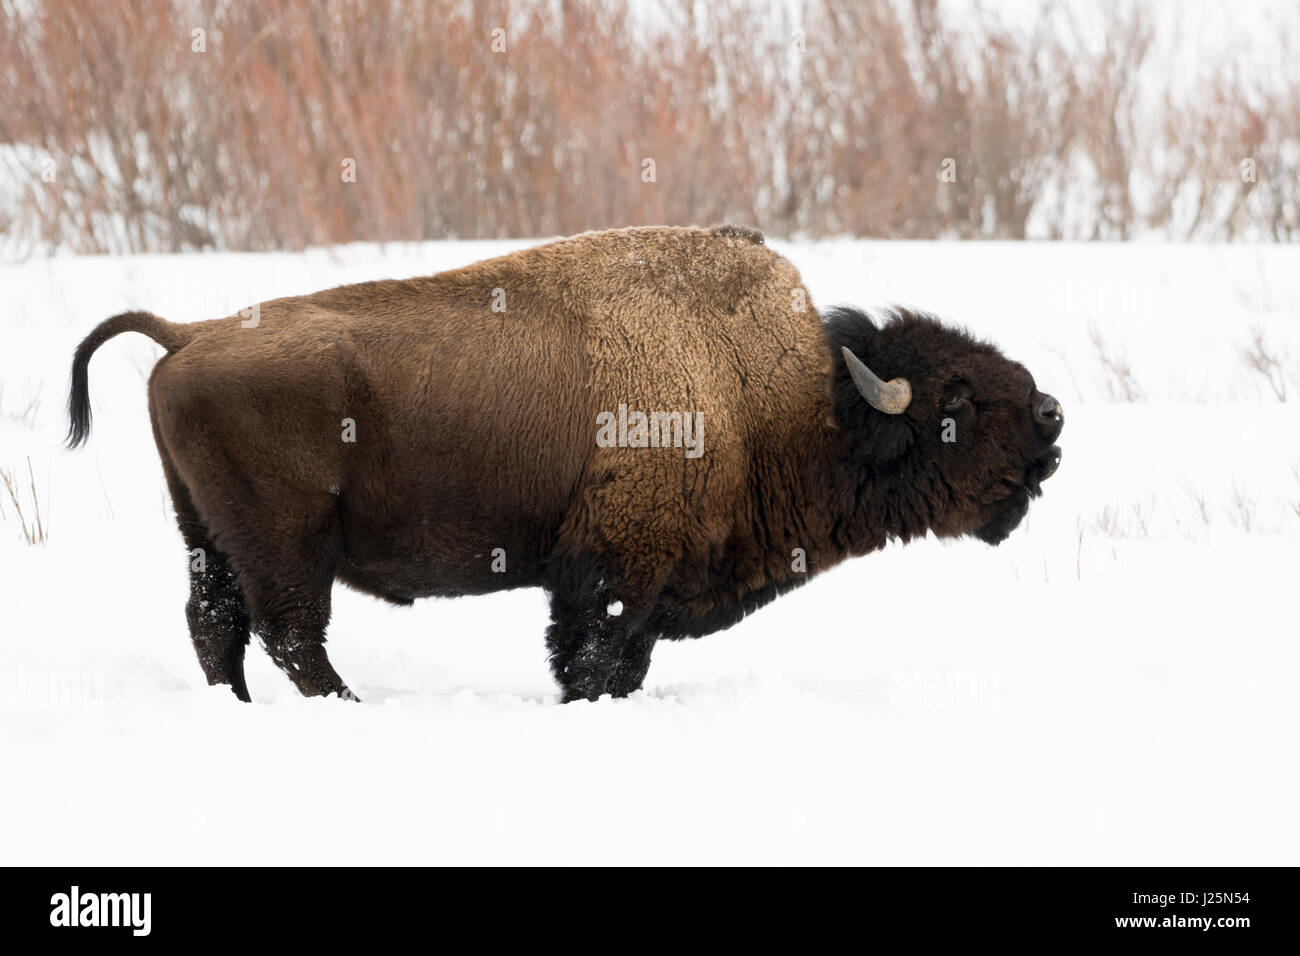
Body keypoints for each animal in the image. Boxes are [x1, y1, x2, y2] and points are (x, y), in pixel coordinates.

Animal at [67, 225, 1063, 702]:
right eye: (959, 403)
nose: (1053, 418)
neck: (776, 397)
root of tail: (188, 333)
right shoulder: (612, 576)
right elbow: (591, 660)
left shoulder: (646, 585)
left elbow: (625, 665)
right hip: (288, 546)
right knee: (289, 636)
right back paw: (353, 709)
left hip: (207, 536)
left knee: (218, 627)